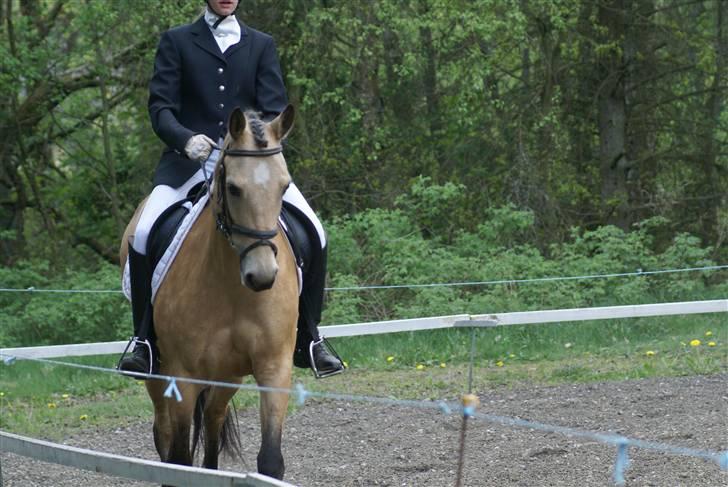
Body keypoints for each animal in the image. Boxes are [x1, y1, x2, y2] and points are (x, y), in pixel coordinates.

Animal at [119, 106, 299, 479]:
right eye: (233, 188)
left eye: (284, 186)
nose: (262, 275)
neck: (231, 290)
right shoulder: (182, 376)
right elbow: (179, 459)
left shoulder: (275, 367)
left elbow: (270, 461)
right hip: (160, 375)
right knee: (163, 433)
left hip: (227, 375)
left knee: (214, 423)